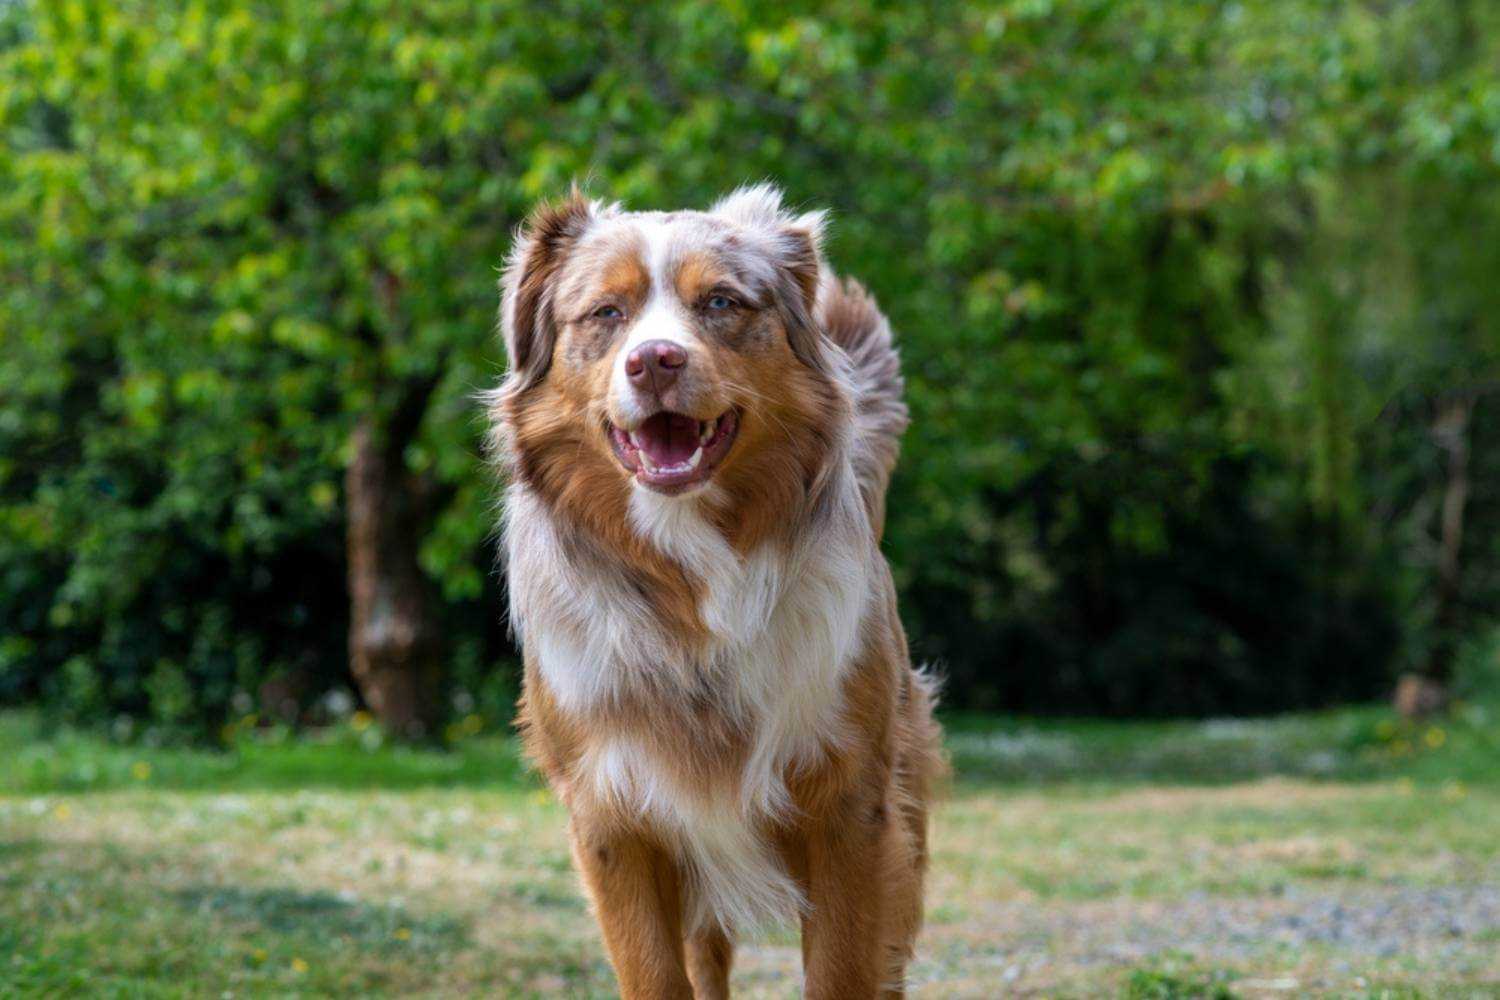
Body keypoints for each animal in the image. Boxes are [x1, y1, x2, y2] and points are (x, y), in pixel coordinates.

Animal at [486, 183, 942, 995]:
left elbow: (843, 971)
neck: (691, 578)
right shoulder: (615, 816)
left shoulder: (850, 807)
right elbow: (655, 975)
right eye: (606, 313)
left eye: (722, 303)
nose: (655, 361)